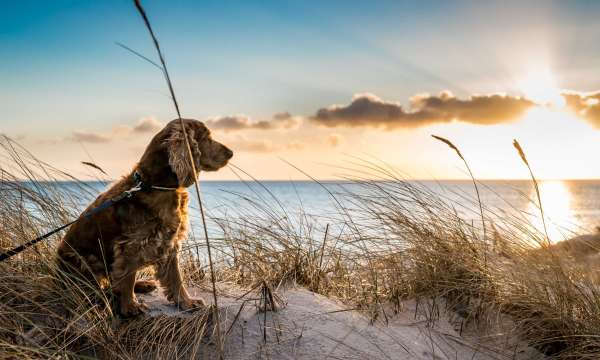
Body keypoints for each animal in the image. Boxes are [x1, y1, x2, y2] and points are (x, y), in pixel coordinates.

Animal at [56, 118, 233, 316]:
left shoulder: (170, 241)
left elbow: (176, 278)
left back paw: (143, 284)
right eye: (207, 138)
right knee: (98, 287)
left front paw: (186, 302)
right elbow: (127, 277)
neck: (156, 186)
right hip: (85, 260)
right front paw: (130, 306)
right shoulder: (131, 245)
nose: (231, 153)